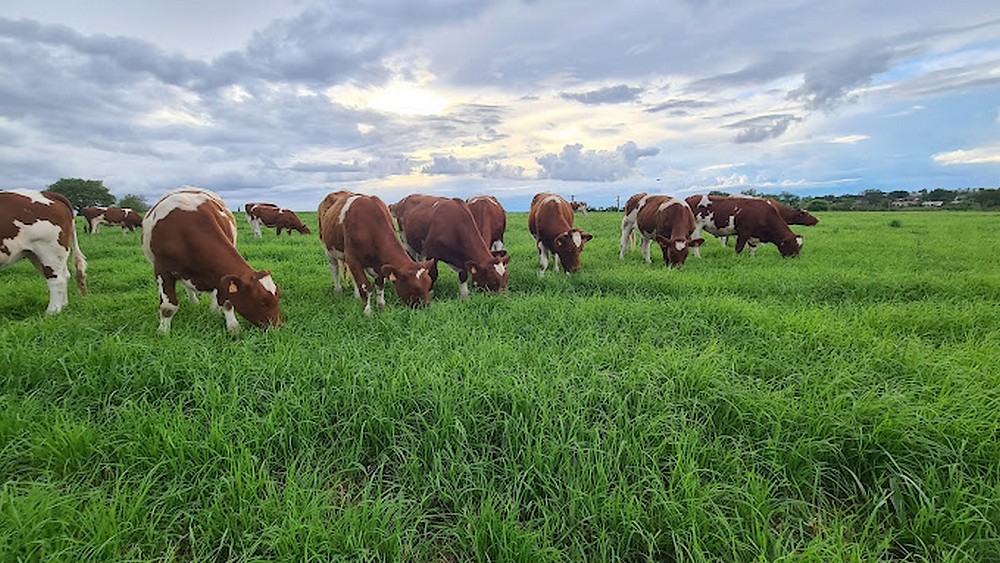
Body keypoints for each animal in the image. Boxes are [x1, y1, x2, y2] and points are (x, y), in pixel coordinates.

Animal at [142, 188, 283, 333]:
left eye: (278, 297)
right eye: (262, 301)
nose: (278, 326)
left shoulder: (222, 276)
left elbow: (227, 302)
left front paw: (233, 328)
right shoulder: (162, 270)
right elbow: (168, 307)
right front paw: (163, 332)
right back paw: (194, 303)